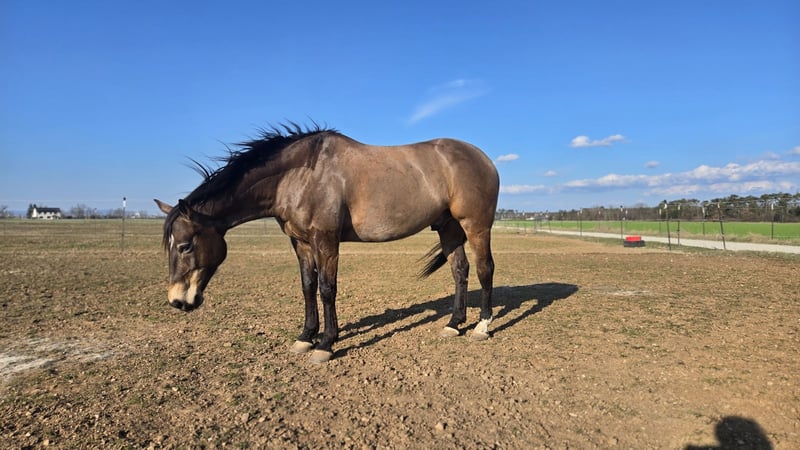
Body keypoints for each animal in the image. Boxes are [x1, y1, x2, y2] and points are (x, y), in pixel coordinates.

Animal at [155, 123, 499, 363]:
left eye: (185, 246)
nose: (177, 301)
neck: (298, 177)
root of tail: (484, 158)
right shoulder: (301, 243)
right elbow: (308, 287)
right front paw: (306, 336)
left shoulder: (326, 240)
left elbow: (326, 289)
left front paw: (325, 344)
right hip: (449, 228)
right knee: (460, 270)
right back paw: (454, 324)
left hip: (476, 226)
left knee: (485, 268)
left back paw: (482, 327)